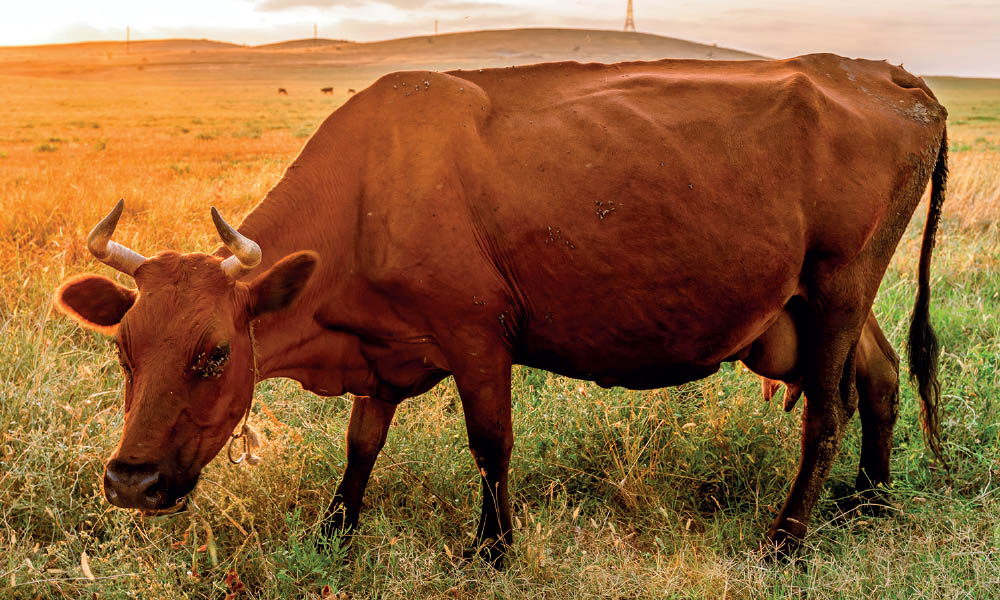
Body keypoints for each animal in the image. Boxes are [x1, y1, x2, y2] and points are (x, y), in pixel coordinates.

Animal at [52, 54, 944, 564]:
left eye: (213, 353)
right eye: (125, 352)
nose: (129, 480)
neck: (366, 195)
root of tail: (886, 76)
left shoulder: (477, 333)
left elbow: (491, 445)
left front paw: (493, 548)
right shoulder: (384, 349)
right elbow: (362, 444)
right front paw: (336, 529)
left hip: (839, 282)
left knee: (826, 411)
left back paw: (788, 541)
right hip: (823, 298)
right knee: (881, 378)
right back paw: (871, 500)